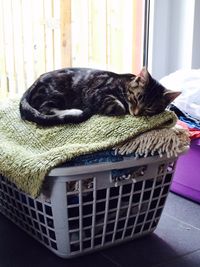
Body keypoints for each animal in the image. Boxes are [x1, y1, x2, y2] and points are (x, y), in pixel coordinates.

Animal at [19, 66, 180, 126]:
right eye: (136, 98)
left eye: (149, 109)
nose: (136, 113)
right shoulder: (95, 92)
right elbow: (120, 107)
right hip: (56, 93)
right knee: (45, 109)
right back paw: (75, 111)